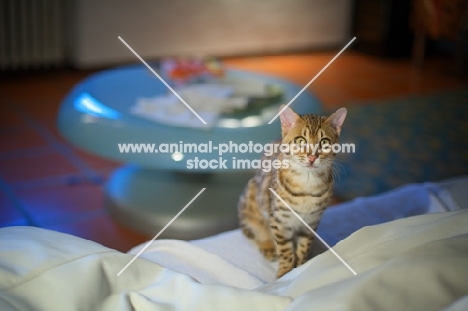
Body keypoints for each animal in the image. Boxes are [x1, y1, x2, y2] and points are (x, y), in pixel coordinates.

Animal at [239, 106, 346, 280]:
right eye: (300, 140)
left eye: (324, 142)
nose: (312, 157)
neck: (307, 185)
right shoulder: (279, 220)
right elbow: (285, 250)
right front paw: (285, 272)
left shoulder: (311, 221)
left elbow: (303, 247)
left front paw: (301, 266)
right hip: (250, 200)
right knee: (257, 231)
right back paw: (268, 246)